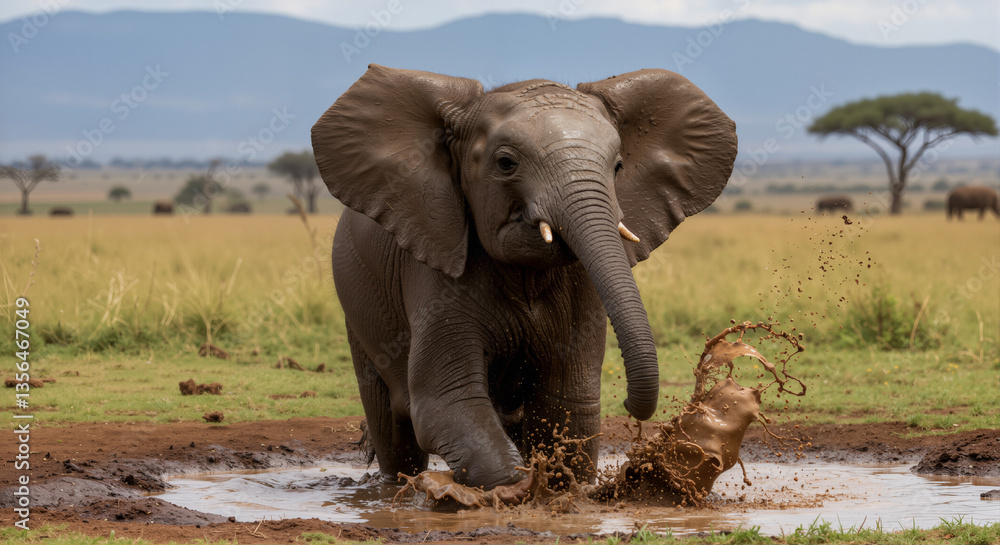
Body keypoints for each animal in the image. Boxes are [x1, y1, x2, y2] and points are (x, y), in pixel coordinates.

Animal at [312, 65, 737, 491]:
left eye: (618, 167)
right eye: (505, 163)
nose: (633, 405)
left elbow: (566, 404)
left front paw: (561, 489)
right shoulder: (434, 271)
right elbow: (449, 404)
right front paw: (515, 491)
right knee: (395, 431)